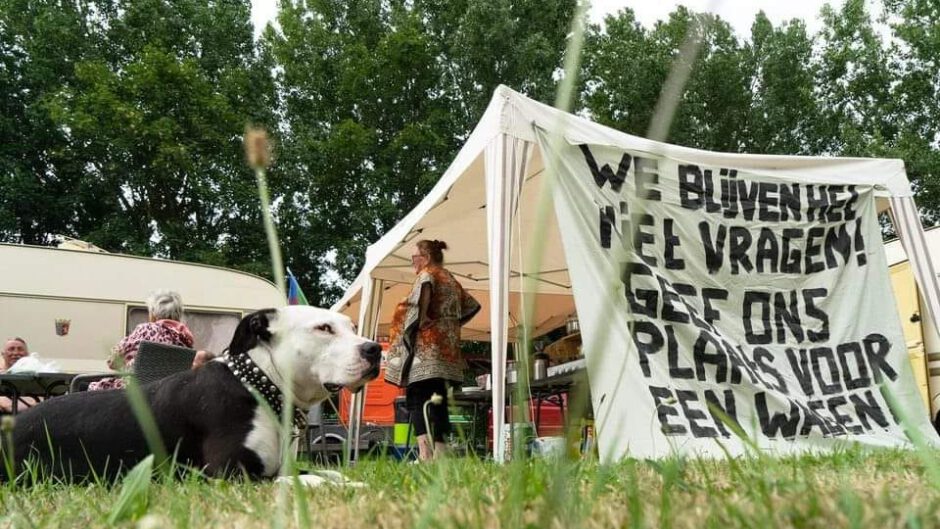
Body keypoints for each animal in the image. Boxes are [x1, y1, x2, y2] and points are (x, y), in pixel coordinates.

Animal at [4, 304, 378, 480]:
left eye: (352, 327)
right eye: (324, 328)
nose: (375, 348)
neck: (258, 385)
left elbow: (329, 474)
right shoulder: (230, 474)